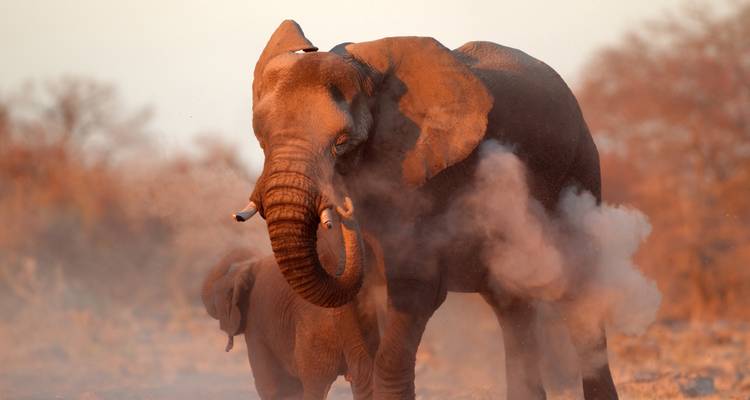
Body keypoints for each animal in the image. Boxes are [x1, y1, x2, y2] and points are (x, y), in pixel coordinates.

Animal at [237, 20, 618, 399]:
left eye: (342, 143)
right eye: (262, 138)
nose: (344, 209)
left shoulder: (427, 179)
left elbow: (414, 292)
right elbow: (356, 323)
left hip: (579, 170)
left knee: (578, 294)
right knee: (510, 305)